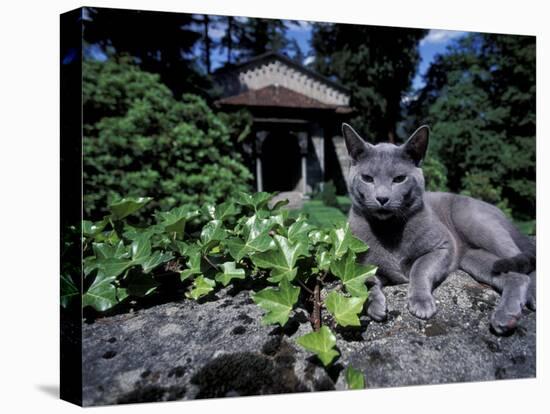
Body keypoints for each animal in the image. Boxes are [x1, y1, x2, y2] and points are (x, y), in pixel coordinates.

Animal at [344, 123, 540, 336]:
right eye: (367, 178)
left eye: (399, 179)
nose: (382, 198)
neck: (389, 230)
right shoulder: (360, 265)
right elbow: (363, 282)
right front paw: (375, 306)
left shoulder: (442, 247)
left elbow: (419, 268)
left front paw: (421, 303)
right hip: (473, 258)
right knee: (516, 276)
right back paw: (507, 317)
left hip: (477, 224)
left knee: (524, 264)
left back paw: (527, 301)